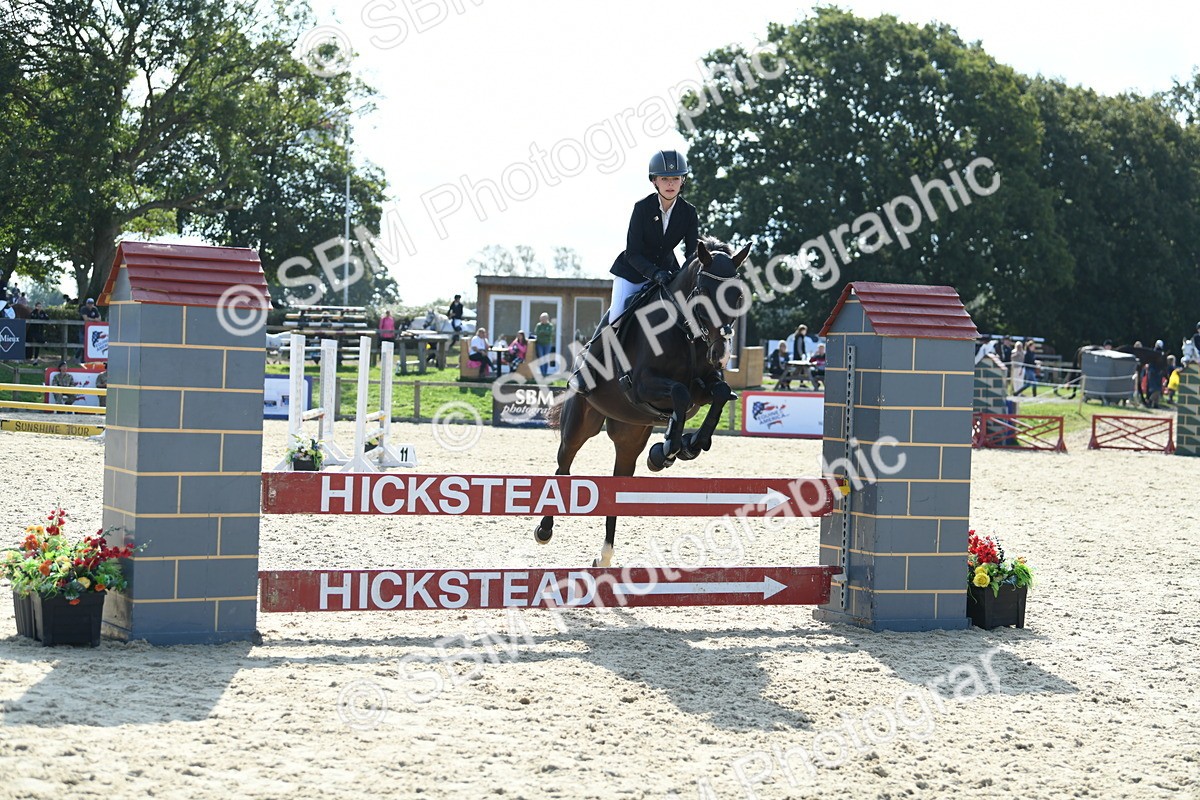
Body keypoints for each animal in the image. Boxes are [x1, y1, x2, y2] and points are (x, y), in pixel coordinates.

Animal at [534, 238, 751, 567]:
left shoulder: (704, 387)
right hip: (579, 424)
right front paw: (669, 449)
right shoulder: (641, 386)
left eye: (737, 296)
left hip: (629, 435)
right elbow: (680, 393)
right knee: (564, 467)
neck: (685, 331)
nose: (722, 355)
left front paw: (686, 446)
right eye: (703, 293)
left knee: (617, 484)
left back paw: (605, 555)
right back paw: (545, 530)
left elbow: (720, 393)